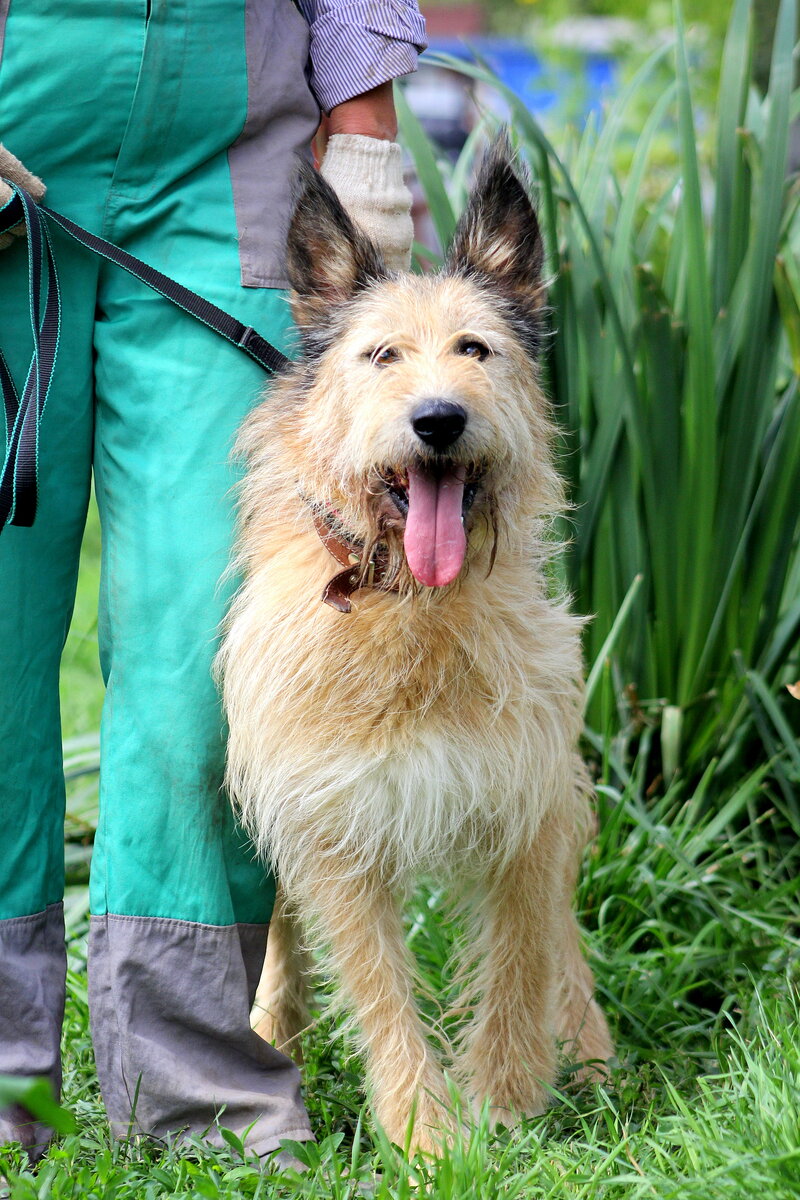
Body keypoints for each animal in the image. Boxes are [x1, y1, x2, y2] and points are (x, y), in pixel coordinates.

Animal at [215, 140, 618, 1152]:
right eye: (382, 354)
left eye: (475, 349)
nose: (438, 418)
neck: (411, 606)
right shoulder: (331, 827)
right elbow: (380, 991)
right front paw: (426, 1137)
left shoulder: (524, 804)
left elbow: (519, 962)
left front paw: (506, 1107)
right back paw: (271, 1026)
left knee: (562, 938)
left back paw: (590, 1054)